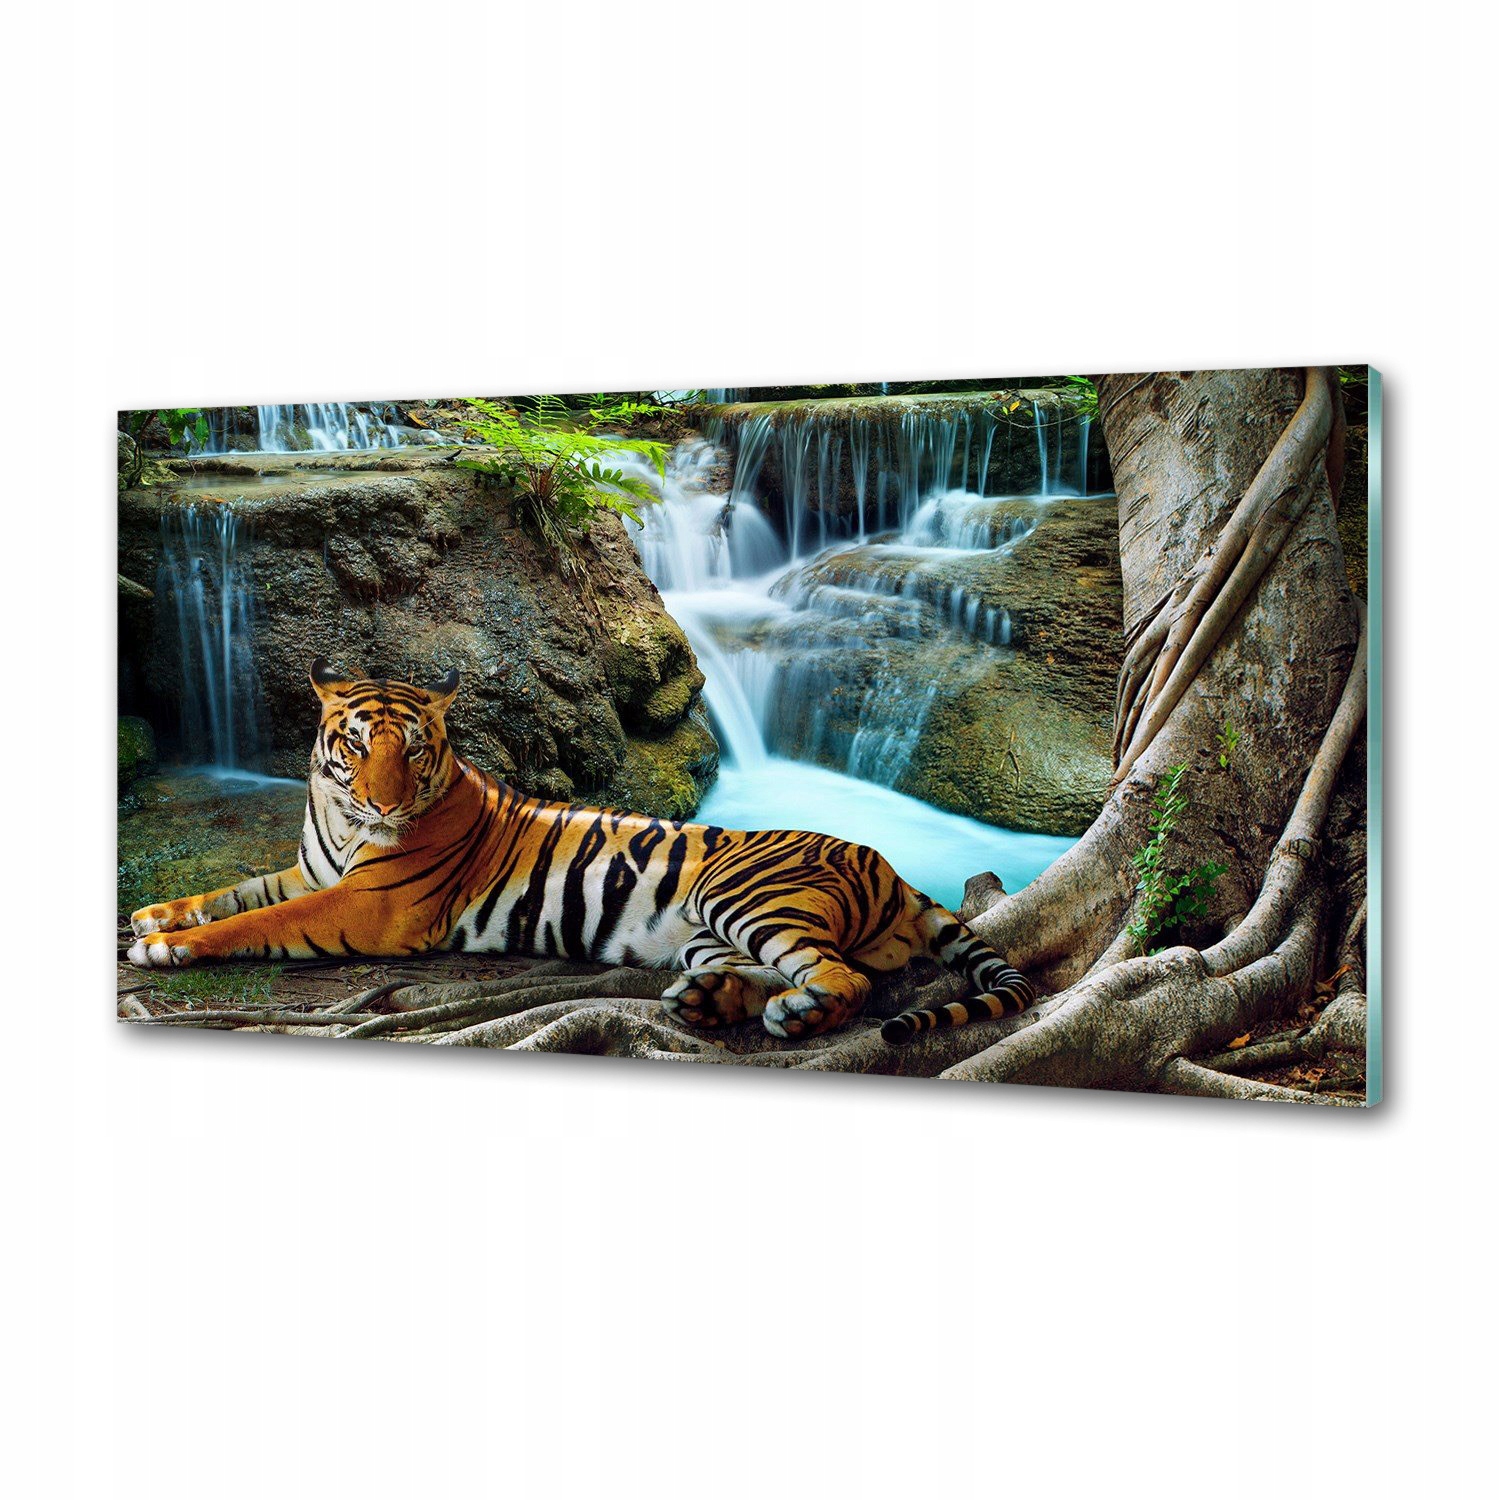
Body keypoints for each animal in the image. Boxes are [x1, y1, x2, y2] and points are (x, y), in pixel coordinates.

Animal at [128, 659, 1036, 1044]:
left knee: (845, 980)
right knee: (792, 971)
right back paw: (709, 1004)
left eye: (412, 749)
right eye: (355, 746)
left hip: (746, 897)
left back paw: (794, 1016)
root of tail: (889, 865)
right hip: (709, 931)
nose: (385, 801)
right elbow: (238, 892)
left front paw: (168, 947)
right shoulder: (314, 870)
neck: (344, 817)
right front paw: (153, 914)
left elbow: (257, 921)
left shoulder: (368, 903)